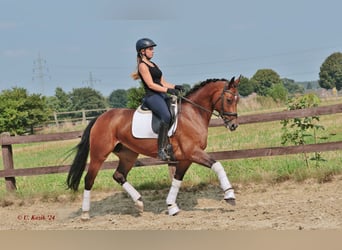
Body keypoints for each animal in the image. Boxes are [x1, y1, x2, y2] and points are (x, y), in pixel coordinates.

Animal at [66, 75, 240, 220]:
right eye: (229, 99)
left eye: (237, 100)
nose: (233, 125)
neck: (193, 114)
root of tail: (100, 117)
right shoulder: (193, 152)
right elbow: (217, 165)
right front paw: (230, 195)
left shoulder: (186, 158)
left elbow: (177, 179)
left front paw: (171, 206)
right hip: (99, 154)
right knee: (89, 179)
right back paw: (85, 214)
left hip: (128, 155)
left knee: (119, 175)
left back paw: (139, 203)